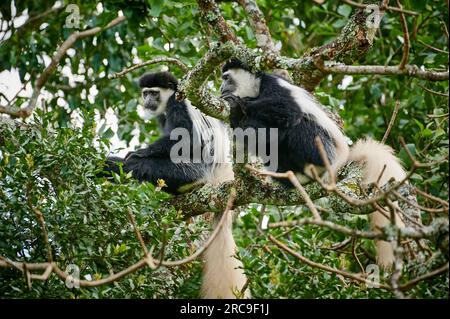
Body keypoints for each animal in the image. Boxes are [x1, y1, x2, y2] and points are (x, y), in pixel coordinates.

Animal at [104, 72, 251, 300]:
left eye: (154, 93)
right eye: (145, 93)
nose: (147, 101)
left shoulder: (178, 103)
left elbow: (186, 139)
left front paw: (139, 153)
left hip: (191, 171)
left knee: (146, 166)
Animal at [221, 60, 408, 270]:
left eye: (226, 78)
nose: (220, 87)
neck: (255, 89)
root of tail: (341, 159)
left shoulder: (273, 85)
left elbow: (287, 108)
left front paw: (238, 103)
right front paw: (236, 114)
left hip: (319, 146)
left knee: (294, 122)